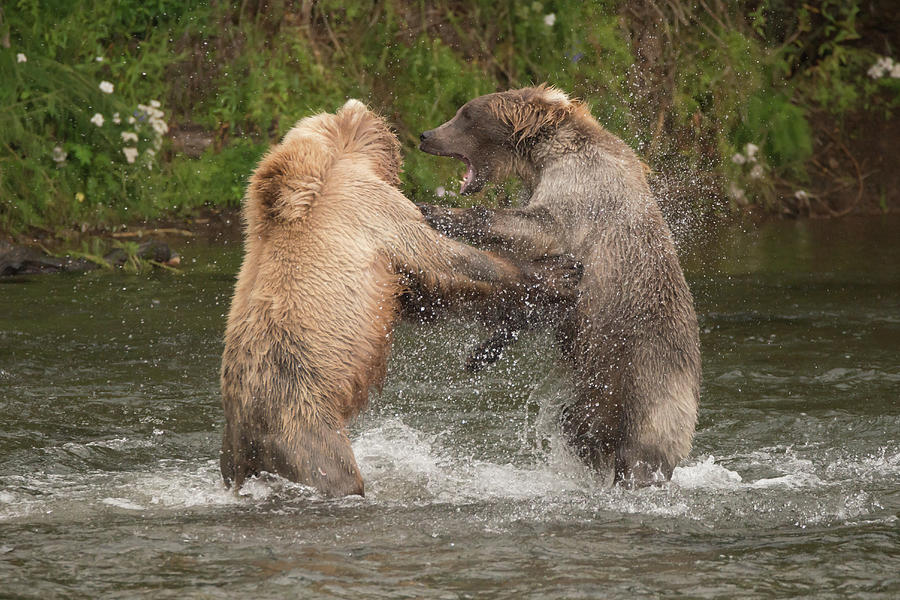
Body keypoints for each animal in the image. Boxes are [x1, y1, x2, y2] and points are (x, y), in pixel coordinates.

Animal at [219, 101, 572, 496]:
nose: (417, 138)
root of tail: (248, 432)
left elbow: (421, 292)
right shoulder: (373, 210)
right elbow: (447, 260)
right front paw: (560, 274)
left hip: (238, 452)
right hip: (305, 424)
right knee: (333, 469)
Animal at [416, 85, 704, 488]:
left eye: (466, 115)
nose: (426, 135)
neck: (541, 156)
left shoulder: (580, 190)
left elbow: (537, 227)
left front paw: (436, 211)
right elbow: (545, 294)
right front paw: (481, 353)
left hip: (647, 386)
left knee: (639, 453)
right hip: (596, 388)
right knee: (579, 427)